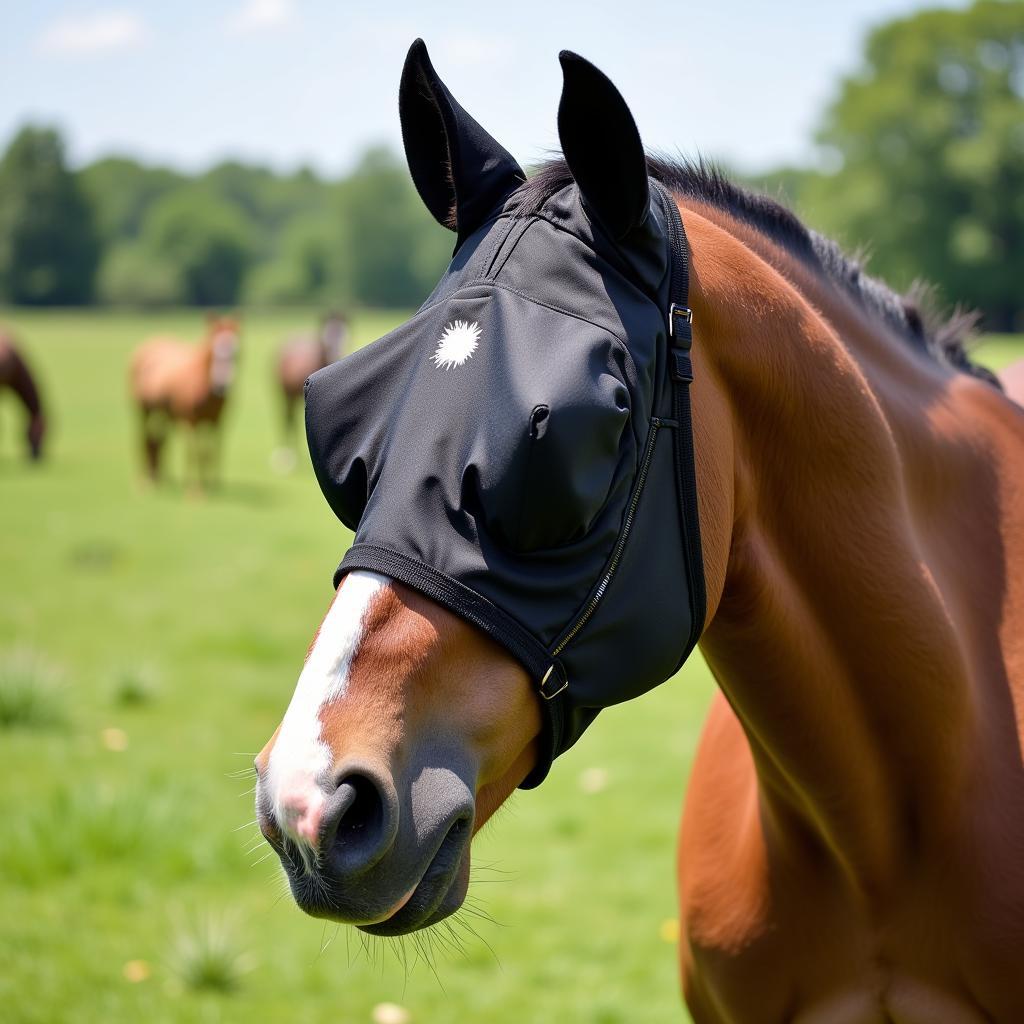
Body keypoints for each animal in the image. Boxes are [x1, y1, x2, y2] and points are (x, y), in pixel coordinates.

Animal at [127, 315, 237, 491]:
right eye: (213, 350)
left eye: (238, 353)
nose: (223, 386)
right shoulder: (190, 421)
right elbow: (193, 452)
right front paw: (195, 490)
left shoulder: (219, 422)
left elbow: (212, 450)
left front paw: (213, 486)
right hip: (143, 410)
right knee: (144, 438)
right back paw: (145, 481)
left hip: (163, 412)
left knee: (159, 440)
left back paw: (158, 476)